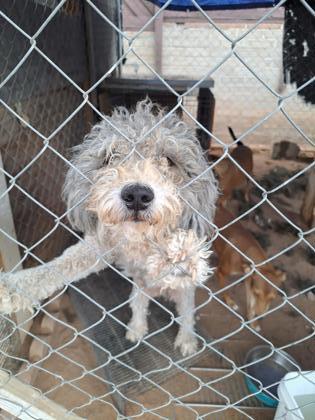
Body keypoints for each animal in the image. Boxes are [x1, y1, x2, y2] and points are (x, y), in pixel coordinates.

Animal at [0, 100, 218, 356]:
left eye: (169, 160)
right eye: (110, 157)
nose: (137, 195)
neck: (139, 240)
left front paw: (179, 250)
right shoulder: (102, 246)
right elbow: (62, 265)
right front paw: (12, 289)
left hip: (185, 296)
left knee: (187, 317)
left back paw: (186, 340)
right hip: (138, 291)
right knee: (139, 308)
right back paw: (136, 329)